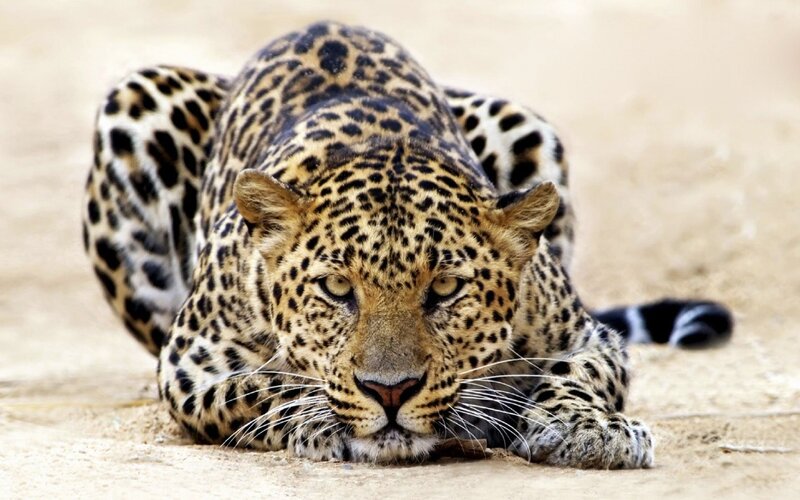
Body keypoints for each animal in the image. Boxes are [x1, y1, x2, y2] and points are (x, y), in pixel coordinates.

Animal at [82, 21, 733, 468]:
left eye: (444, 289)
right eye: (336, 288)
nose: (390, 391)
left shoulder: (586, 335)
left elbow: (576, 374)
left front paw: (588, 429)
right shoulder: (190, 362)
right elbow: (266, 385)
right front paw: (323, 419)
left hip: (521, 121)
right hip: (135, 102)